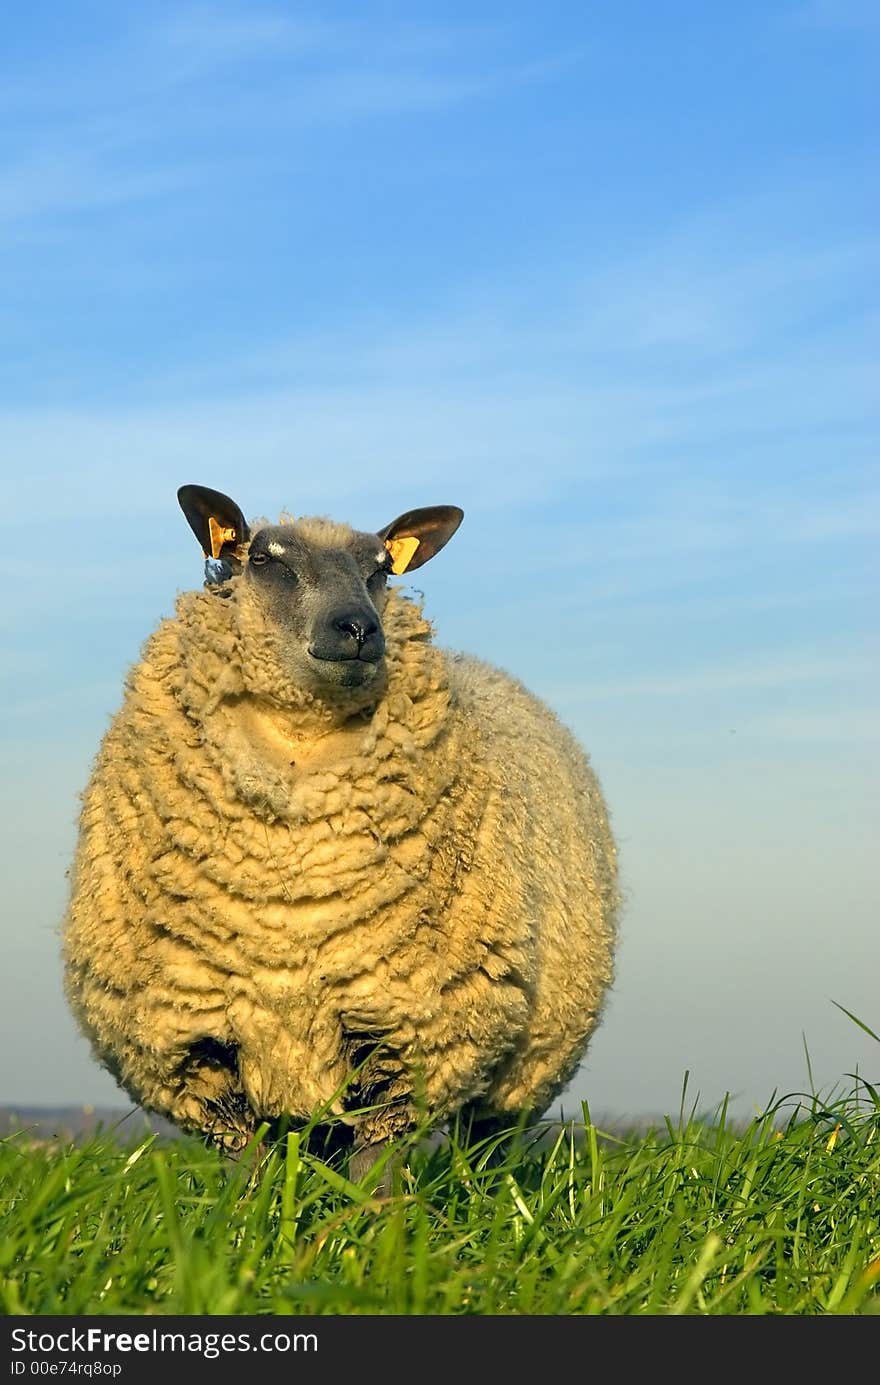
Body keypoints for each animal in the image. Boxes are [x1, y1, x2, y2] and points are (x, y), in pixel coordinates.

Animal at [62, 481, 620, 1174]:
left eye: (381, 569)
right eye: (263, 559)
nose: (359, 629)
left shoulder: (410, 1024)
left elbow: (376, 1168)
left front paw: (376, 1210)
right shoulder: (195, 1039)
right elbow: (251, 1170)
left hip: (527, 1059)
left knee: (486, 1142)